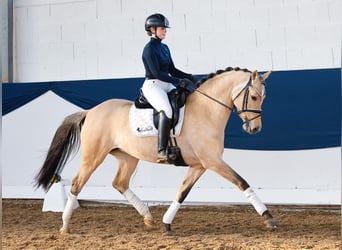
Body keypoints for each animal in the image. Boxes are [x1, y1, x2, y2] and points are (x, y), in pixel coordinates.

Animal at [34, 66, 278, 234]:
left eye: (263, 98)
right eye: (254, 97)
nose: (254, 129)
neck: (206, 111)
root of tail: (91, 110)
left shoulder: (199, 165)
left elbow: (182, 192)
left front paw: (166, 224)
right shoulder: (213, 161)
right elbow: (242, 182)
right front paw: (268, 218)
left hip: (128, 157)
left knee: (120, 183)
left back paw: (148, 218)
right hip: (93, 157)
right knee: (77, 184)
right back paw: (65, 225)